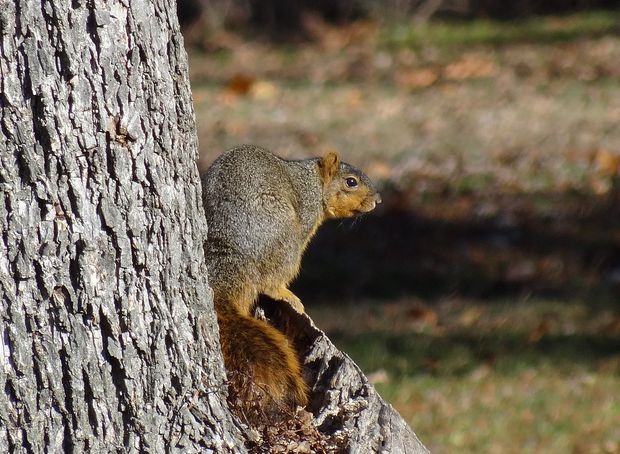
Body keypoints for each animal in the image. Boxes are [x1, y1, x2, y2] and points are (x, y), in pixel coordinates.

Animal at [201, 145, 380, 412]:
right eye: (351, 182)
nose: (378, 200)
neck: (313, 182)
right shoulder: (306, 216)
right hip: (287, 240)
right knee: (268, 282)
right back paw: (289, 295)